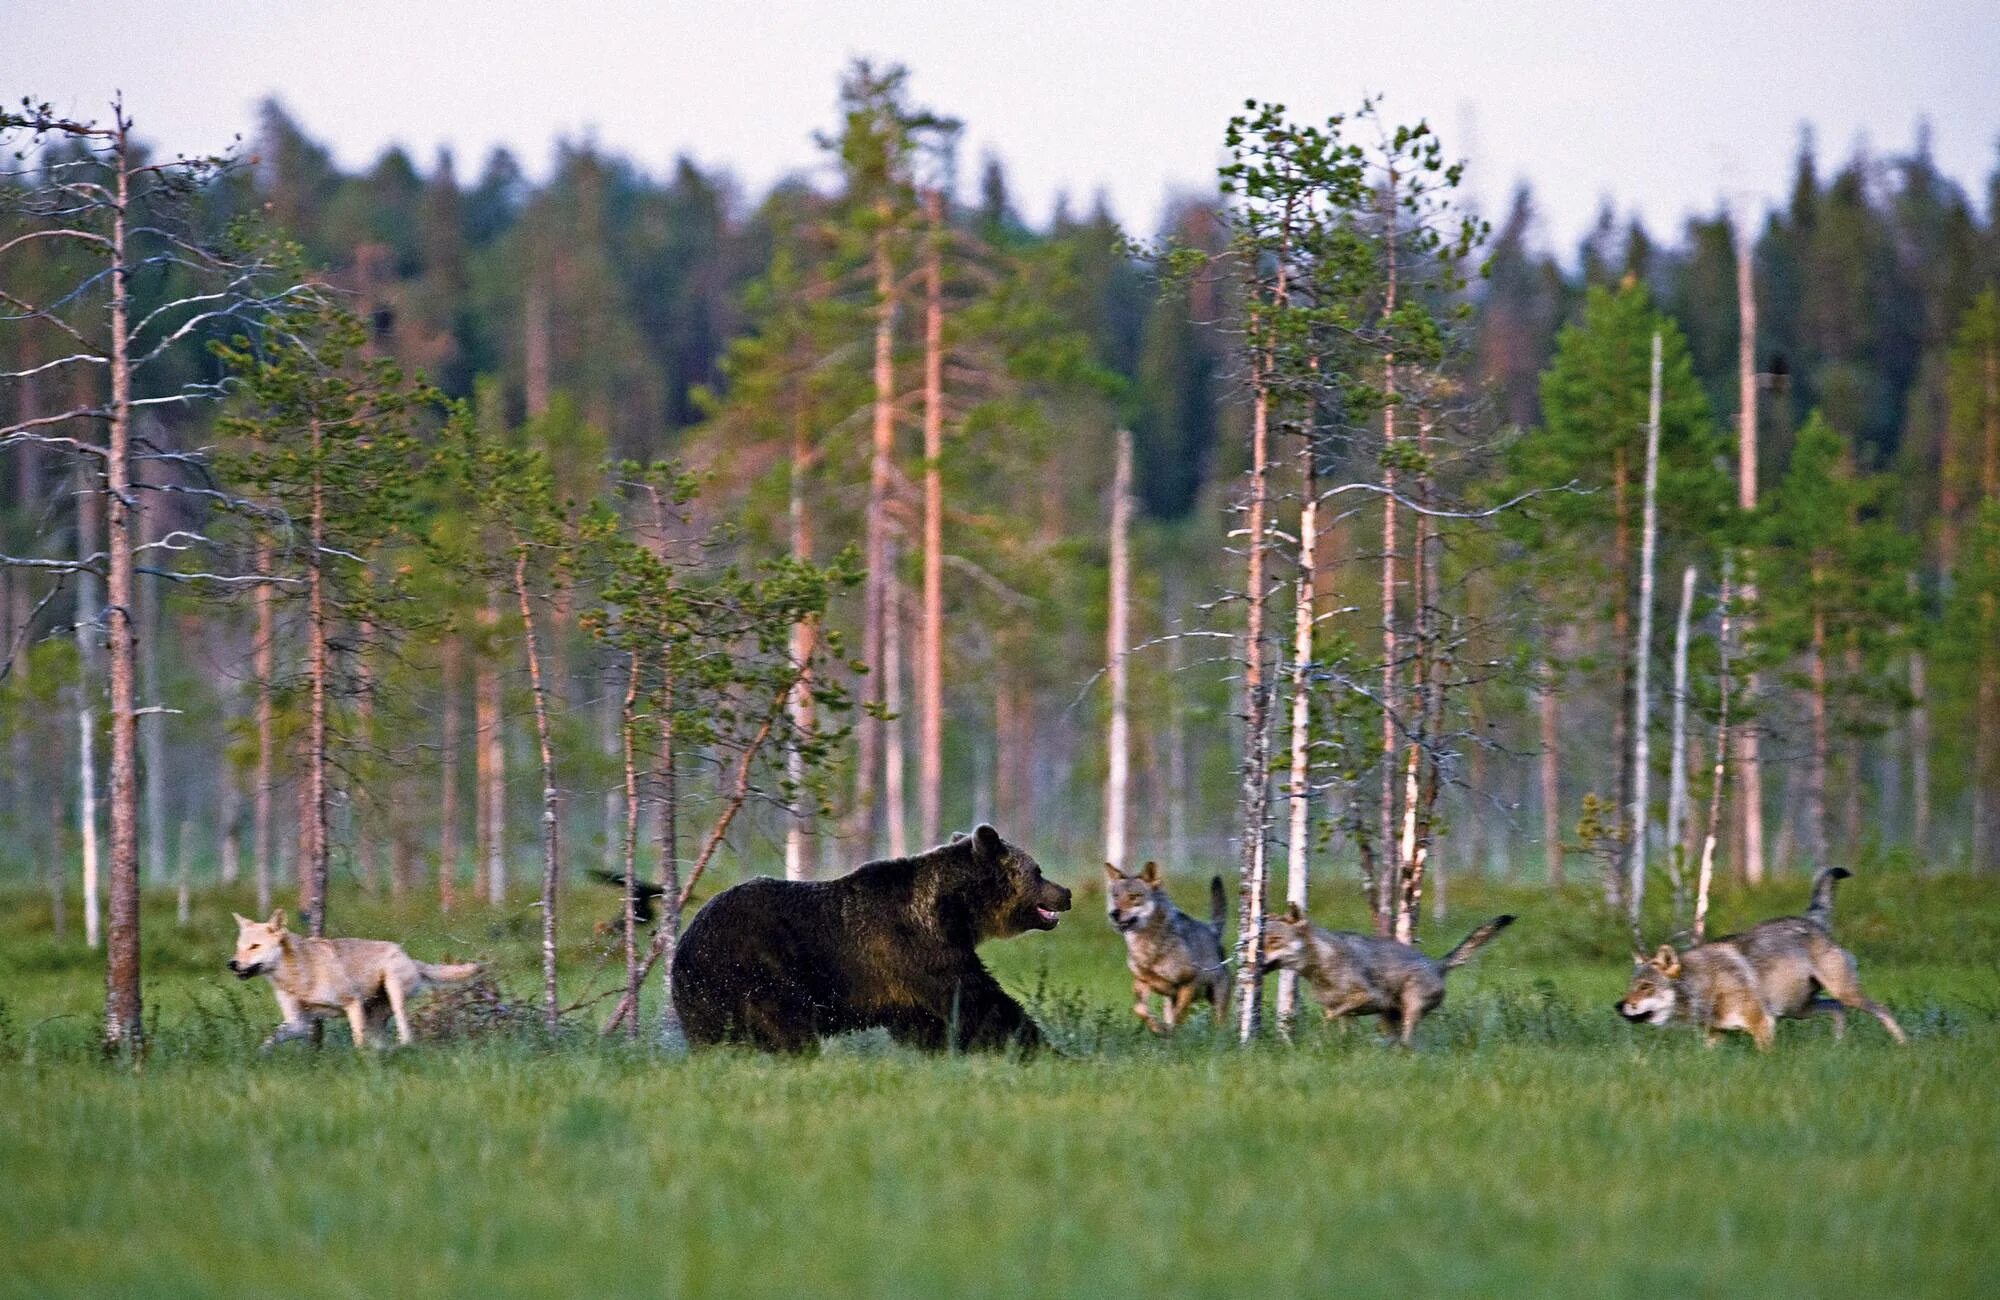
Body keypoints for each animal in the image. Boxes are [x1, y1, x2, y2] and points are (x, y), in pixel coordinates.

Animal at [229, 908, 482, 1048]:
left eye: (254, 946)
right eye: (239, 947)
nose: (231, 964)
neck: (299, 975)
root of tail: (409, 956)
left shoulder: (352, 1005)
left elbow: (358, 1042)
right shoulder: (298, 1023)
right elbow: (270, 1040)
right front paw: (259, 1057)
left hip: (394, 994)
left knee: (405, 1034)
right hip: (376, 1016)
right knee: (384, 1042)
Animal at [668, 820, 1080, 1056]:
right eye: (1037, 871)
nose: (1067, 892)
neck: (954, 910)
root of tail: (685, 943)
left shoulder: (902, 982)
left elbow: (928, 1022)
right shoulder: (918, 947)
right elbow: (978, 1001)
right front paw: (1042, 1048)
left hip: (705, 997)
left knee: (714, 1037)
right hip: (758, 969)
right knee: (788, 1028)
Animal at [1104, 860, 1224, 1032]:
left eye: (1134, 897)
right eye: (1116, 896)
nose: (1114, 913)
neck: (1148, 948)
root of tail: (1213, 932)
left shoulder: (1189, 983)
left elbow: (1179, 1016)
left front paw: (1171, 1032)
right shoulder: (1141, 982)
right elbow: (1140, 1009)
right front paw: (1157, 1028)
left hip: (1217, 1001)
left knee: (1220, 1025)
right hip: (1169, 1001)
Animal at [1608, 864, 1904, 1048]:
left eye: (1646, 987)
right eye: (1631, 986)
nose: (1619, 1005)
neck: (1705, 985)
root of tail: (1811, 921)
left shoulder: (1764, 1023)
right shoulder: (1715, 1036)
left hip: (1843, 993)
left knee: (1881, 1009)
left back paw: (1904, 1045)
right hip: (1799, 1009)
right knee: (1838, 1009)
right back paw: (1838, 1045)